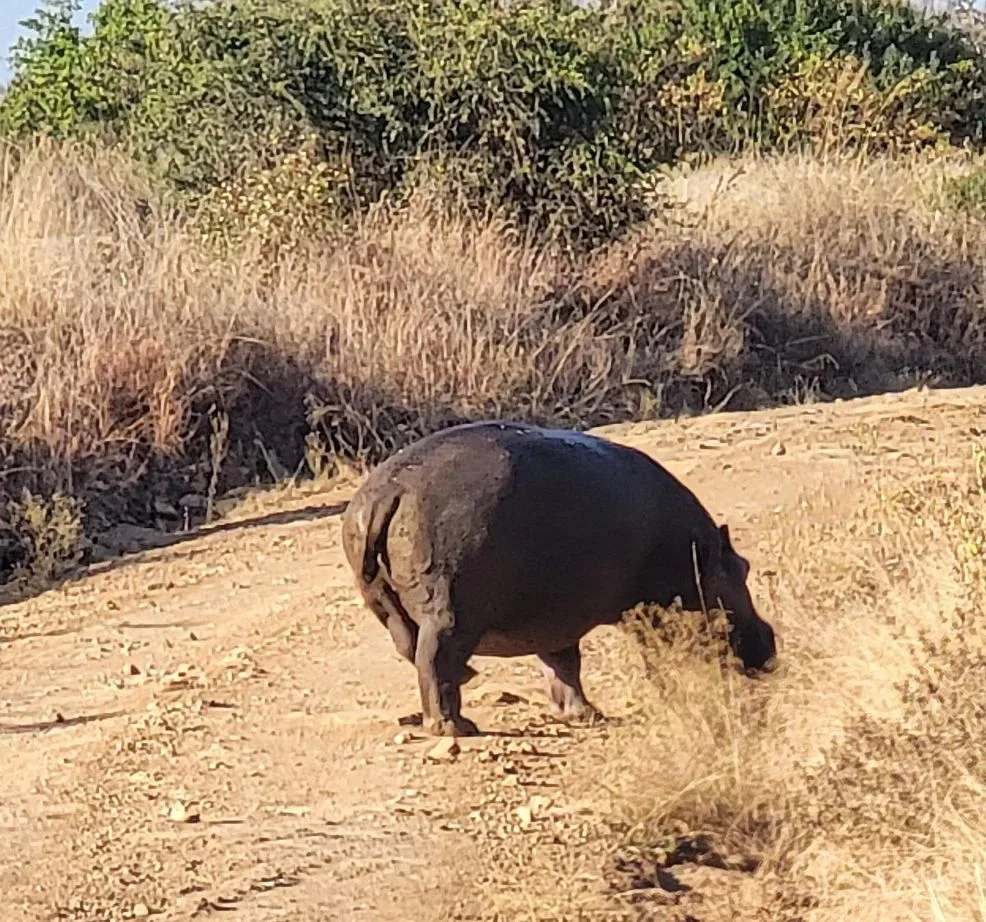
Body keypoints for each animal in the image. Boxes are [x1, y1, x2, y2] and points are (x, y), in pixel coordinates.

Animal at [340, 421, 777, 737]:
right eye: (744, 567)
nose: (771, 646)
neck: (700, 556)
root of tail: (389, 490)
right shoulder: (651, 610)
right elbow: (647, 657)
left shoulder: (553, 619)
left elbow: (562, 664)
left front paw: (585, 715)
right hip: (451, 613)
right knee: (435, 660)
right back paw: (456, 727)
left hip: (384, 602)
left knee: (413, 651)